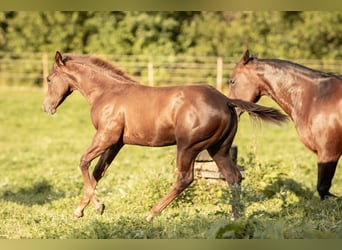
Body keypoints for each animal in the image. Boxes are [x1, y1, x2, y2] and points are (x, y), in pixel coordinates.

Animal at [42, 51, 288, 220]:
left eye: (49, 79)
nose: (46, 108)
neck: (107, 91)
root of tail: (226, 101)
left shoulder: (106, 136)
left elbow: (83, 162)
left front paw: (97, 207)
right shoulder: (116, 143)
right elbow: (98, 171)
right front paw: (82, 209)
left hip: (188, 146)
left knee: (185, 178)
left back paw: (152, 213)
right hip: (219, 148)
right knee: (233, 177)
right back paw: (236, 217)